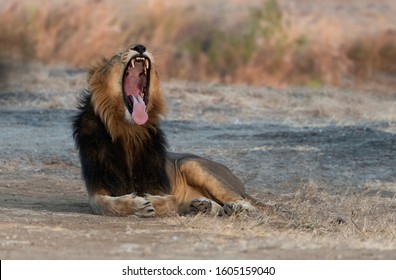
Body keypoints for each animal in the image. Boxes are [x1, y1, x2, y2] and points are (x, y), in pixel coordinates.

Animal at [72, 43, 256, 217]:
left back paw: (236, 207)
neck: (128, 131)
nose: (140, 46)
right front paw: (137, 205)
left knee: (243, 201)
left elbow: (170, 200)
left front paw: (147, 202)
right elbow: (106, 204)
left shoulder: (159, 186)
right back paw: (202, 206)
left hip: (190, 163)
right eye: (117, 56)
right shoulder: (97, 188)